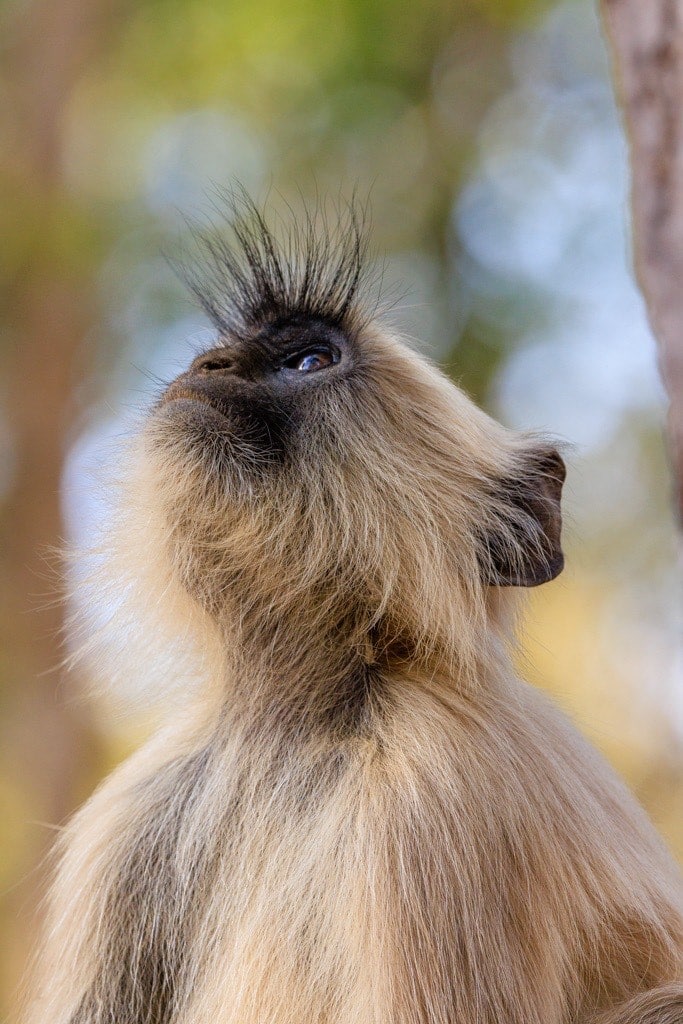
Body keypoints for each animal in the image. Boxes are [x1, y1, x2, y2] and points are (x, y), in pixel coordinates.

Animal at [28, 197, 683, 1024]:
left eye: (309, 361)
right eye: (223, 354)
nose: (207, 366)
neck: (294, 725)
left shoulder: (435, 794)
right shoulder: (130, 817)